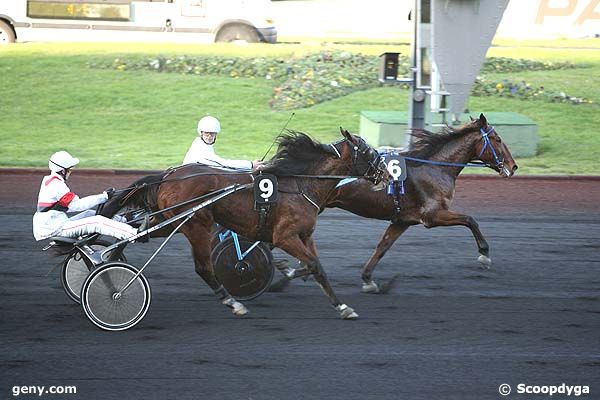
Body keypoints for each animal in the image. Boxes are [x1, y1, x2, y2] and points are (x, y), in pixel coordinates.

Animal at [101, 130, 386, 320]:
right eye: (369, 151)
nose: (385, 172)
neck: (302, 185)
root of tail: (168, 175)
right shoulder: (285, 237)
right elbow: (314, 265)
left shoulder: (305, 236)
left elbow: (315, 267)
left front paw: (339, 304)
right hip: (196, 224)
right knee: (203, 267)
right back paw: (233, 303)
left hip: (171, 221)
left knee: (137, 233)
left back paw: (109, 265)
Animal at [326, 113, 516, 294]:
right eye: (498, 139)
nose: (513, 166)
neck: (434, 168)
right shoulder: (432, 215)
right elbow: (470, 220)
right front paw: (484, 254)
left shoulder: (402, 220)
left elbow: (383, 247)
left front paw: (368, 280)